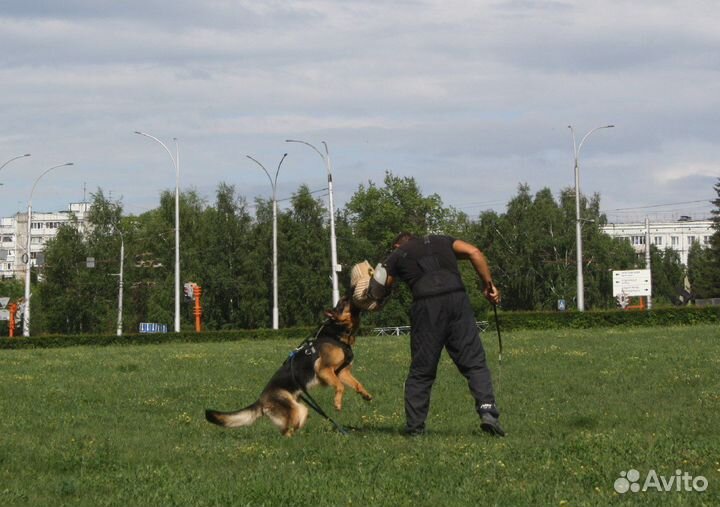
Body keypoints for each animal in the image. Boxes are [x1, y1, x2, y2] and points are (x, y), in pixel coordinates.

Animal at [202, 298, 372, 436]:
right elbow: (340, 386)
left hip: (301, 410)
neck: (337, 333)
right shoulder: (324, 370)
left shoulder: (342, 372)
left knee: (289, 429)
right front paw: (337, 403)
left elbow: (357, 384)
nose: (350, 294)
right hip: (295, 410)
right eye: (343, 302)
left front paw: (365, 394)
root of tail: (261, 401)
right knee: (285, 432)